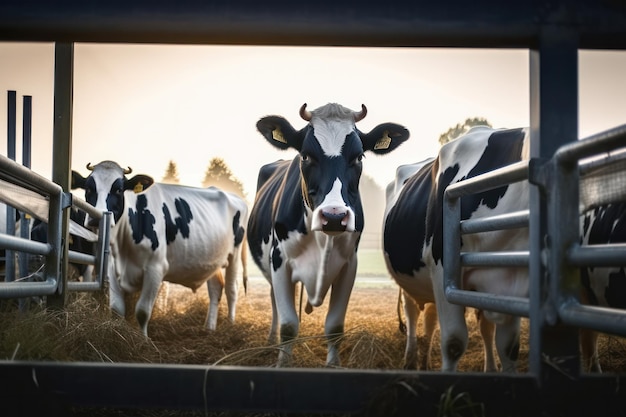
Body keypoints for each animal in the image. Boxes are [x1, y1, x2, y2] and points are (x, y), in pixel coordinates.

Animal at [72, 161, 247, 336]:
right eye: (88, 188)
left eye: (119, 190)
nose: (95, 218)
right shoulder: (112, 268)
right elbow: (117, 309)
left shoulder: (155, 268)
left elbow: (142, 311)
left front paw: (143, 339)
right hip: (213, 260)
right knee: (216, 288)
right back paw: (209, 327)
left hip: (234, 255)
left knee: (232, 289)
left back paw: (230, 325)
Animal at [246, 103, 412, 364]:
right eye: (305, 155)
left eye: (359, 157)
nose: (334, 216)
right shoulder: (279, 260)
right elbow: (288, 326)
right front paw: (282, 363)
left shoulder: (349, 265)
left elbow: (334, 327)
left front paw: (334, 365)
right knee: (274, 303)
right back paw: (270, 341)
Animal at [382, 126, 528, 370]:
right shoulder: (443, 270)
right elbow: (453, 343)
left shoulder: (510, 282)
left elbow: (509, 347)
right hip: (409, 278)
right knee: (411, 313)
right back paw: (410, 361)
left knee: (432, 317)